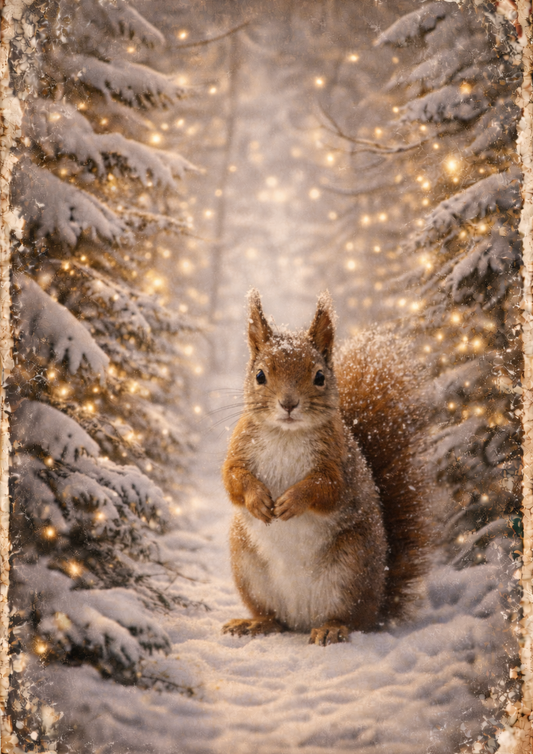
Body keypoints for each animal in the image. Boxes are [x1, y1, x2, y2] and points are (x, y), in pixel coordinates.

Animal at [221, 289, 431, 645]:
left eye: (319, 377)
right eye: (260, 375)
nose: (288, 403)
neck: (286, 434)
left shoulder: (339, 462)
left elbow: (327, 488)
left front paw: (292, 501)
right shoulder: (238, 450)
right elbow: (233, 479)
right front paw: (258, 500)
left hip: (350, 569)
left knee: (351, 619)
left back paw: (332, 628)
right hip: (248, 570)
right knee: (274, 617)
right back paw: (254, 624)